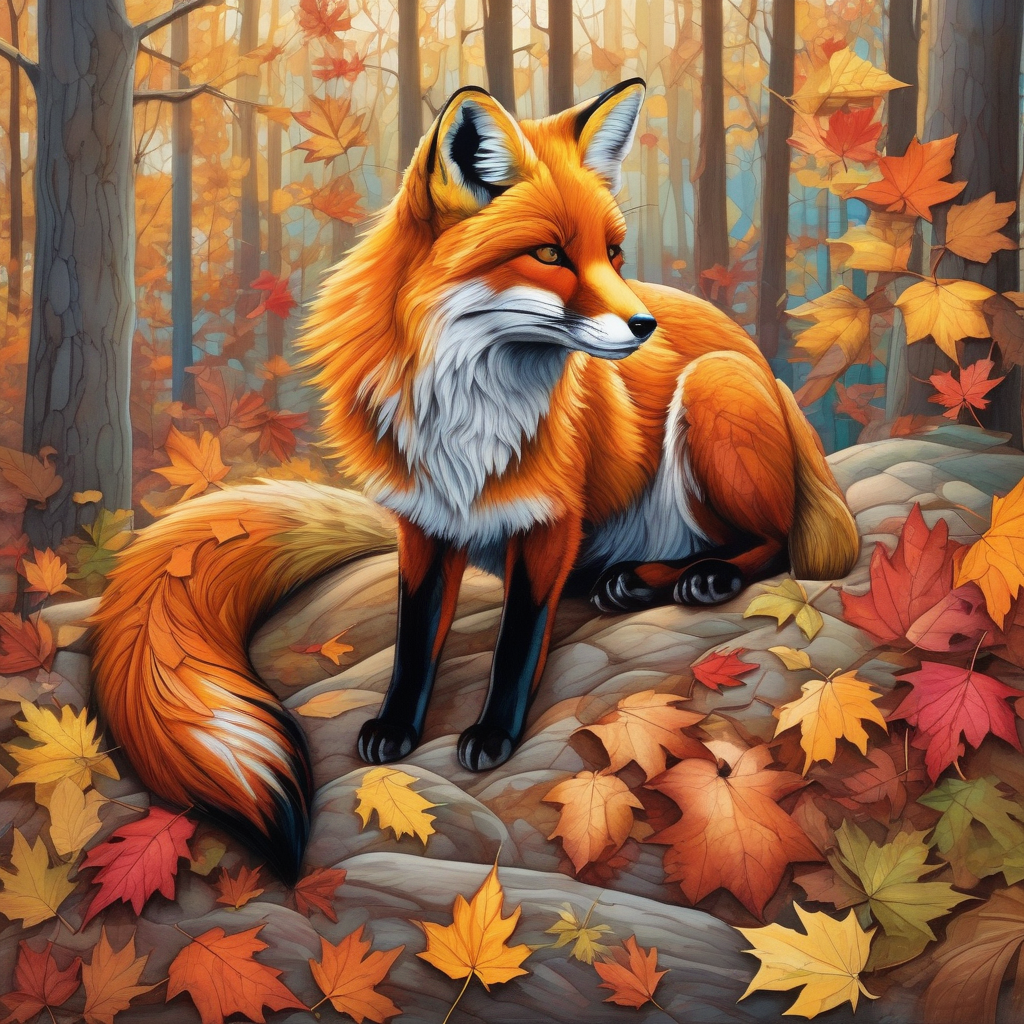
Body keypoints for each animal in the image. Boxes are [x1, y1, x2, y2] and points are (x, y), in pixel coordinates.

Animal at [90, 79, 859, 882]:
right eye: (550, 253)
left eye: (613, 253)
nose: (645, 326)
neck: (468, 411)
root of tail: (768, 372)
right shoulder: (426, 520)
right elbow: (415, 635)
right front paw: (397, 724)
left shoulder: (551, 518)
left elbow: (519, 638)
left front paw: (493, 733)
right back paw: (633, 580)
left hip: (712, 397)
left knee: (776, 542)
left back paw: (697, 577)